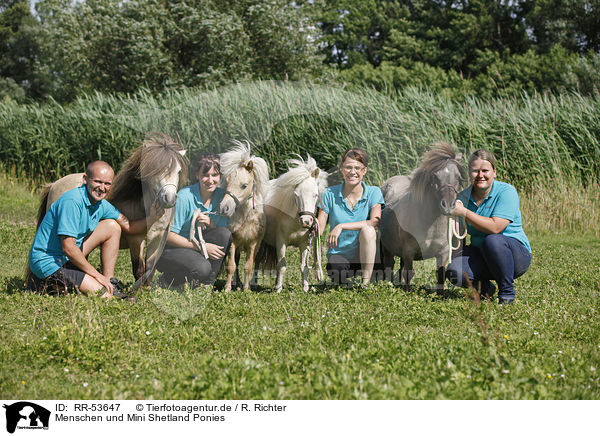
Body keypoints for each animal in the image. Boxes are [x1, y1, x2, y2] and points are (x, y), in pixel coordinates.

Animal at [219, 140, 268, 292]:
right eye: (227, 182)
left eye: (244, 185)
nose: (224, 208)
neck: (246, 217)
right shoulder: (233, 243)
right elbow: (231, 266)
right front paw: (227, 288)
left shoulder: (252, 244)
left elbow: (248, 266)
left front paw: (246, 289)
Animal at [258, 155, 328, 292]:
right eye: (296, 195)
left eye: (315, 194)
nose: (306, 221)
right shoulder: (281, 242)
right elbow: (282, 266)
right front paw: (278, 289)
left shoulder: (304, 244)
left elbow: (303, 267)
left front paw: (305, 289)